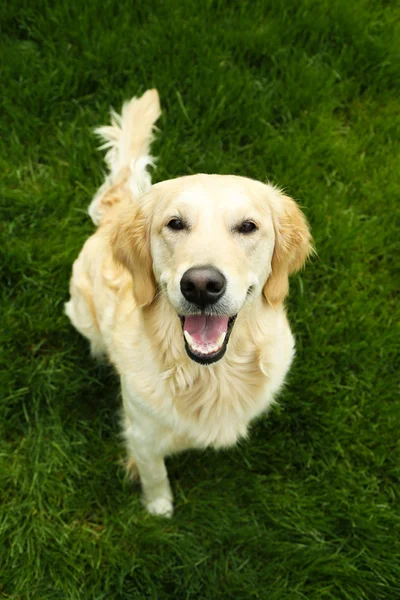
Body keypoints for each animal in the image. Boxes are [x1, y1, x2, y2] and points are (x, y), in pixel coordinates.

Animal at [65, 89, 312, 516]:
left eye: (248, 226)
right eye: (175, 223)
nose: (200, 285)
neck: (209, 377)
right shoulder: (142, 432)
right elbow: (154, 473)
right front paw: (159, 508)